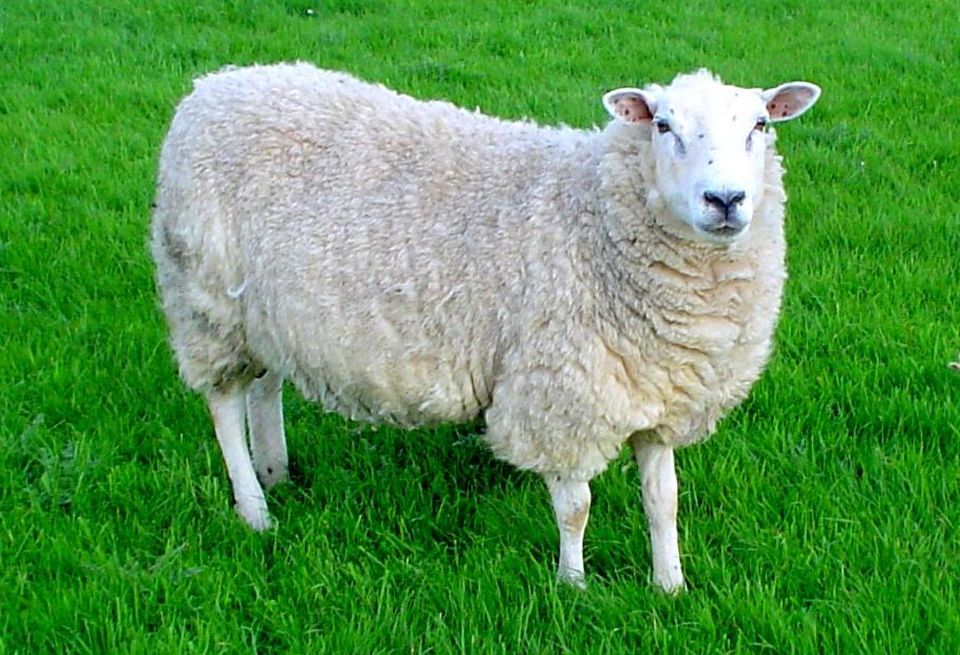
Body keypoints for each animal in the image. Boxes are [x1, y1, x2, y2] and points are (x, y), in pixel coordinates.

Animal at [151, 63, 820, 591]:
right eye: (662, 125)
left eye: (761, 126)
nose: (725, 200)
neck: (594, 217)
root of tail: (212, 86)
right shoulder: (560, 394)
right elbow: (575, 507)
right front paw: (572, 586)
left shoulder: (655, 391)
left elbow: (664, 502)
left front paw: (670, 586)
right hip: (204, 300)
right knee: (224, 404)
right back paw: (255, 508)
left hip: (261, 313)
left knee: (265, 387)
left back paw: (277, 472)